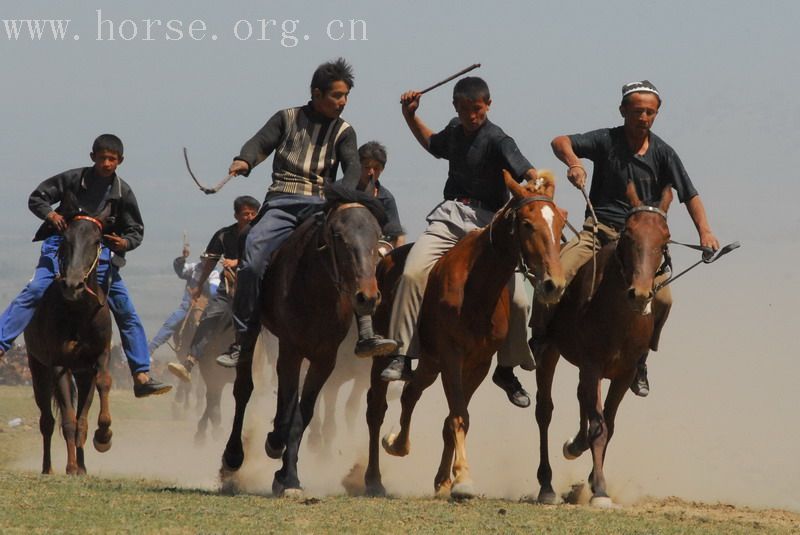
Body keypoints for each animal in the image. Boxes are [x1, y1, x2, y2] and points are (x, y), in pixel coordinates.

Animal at [24, 203, 114, 476]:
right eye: (65, 239)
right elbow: (68, 420)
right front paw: (71, 466)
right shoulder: (58, 366)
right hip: (38, 369)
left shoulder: (99, 358)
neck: (80, 313)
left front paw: (103, 436)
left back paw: (83, 465)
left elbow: (102, 386)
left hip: (82, 375)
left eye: (97, 240)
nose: (73, 285)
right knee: (47, 421)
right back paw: (48, 468)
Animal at [220, 189, 386, 498]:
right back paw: (233, 457)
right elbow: (287, 405)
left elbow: (302, 412)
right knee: (243, 389)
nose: (367, 297)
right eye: (338, 235)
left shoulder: (325, 358)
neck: (316, 290)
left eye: (377, 234)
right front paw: (281, 461)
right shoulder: (292, 350)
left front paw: (287, 476)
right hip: (256, 335)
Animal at [366, 172, 564, 498]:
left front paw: (445, 481)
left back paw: (398, 444)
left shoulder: (477, 363)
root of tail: (383, 263)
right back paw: (373, 478)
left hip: (430, 363)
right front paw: (463, 479)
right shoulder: (452, 356)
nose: (554, 285)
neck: (476, 287)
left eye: (560, 222)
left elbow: (453, 418)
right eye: (526, 223)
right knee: (376, 408)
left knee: (410, 393)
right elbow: (458, 415)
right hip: (387, 357)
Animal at [536, 180, 672, 506]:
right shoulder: (593, 366)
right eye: (629, 234)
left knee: (581, 399)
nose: (640, 294)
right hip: (550, 352)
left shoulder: (622, 374)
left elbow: (607, 424)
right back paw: (546, 485)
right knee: (544, 410)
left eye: (665, 238)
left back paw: (575, 445)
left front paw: (590, 476)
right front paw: (598, 490)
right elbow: (599, 426)